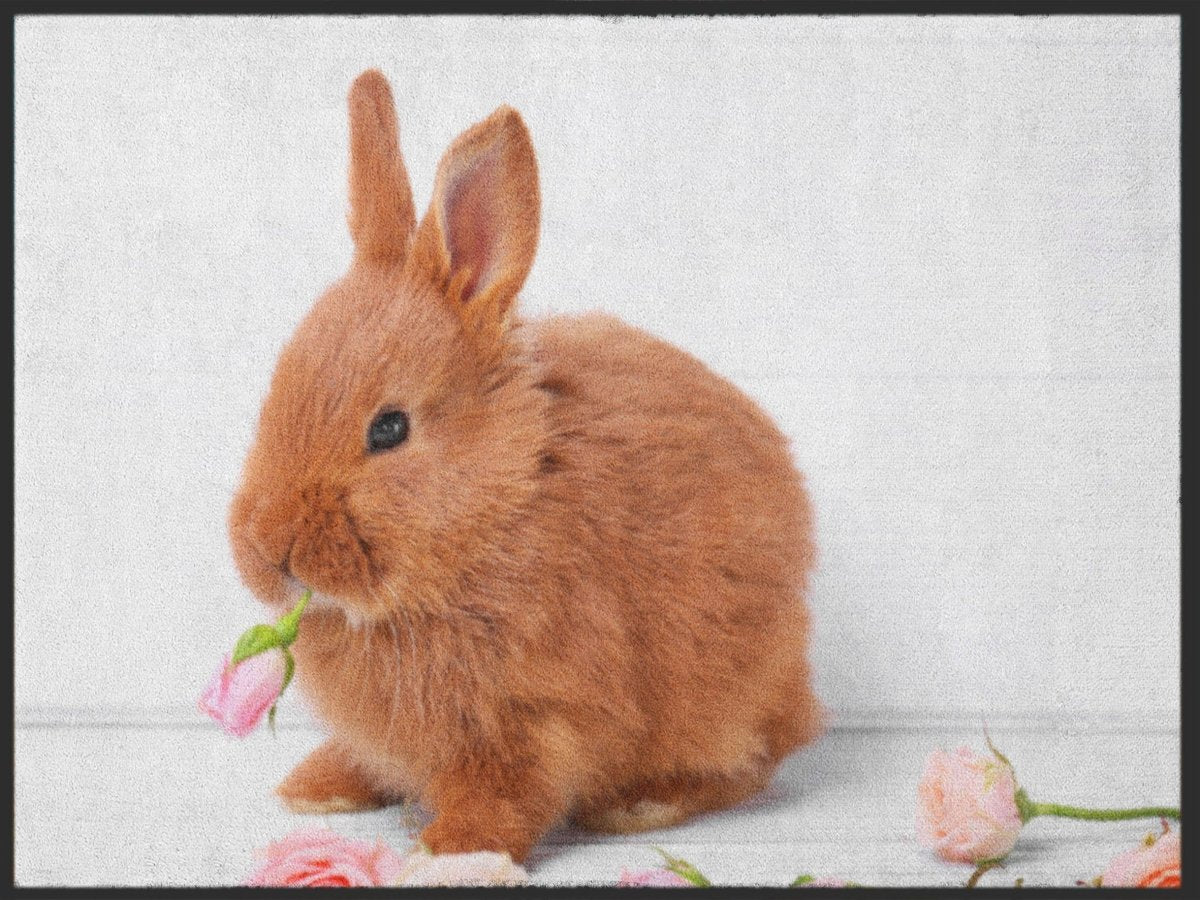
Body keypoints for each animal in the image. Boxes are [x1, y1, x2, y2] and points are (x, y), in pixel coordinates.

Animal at [228, 68, 824, 863]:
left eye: (389, 428)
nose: (269, 545)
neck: (496, 508)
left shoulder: (534, 713)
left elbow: (510, 787)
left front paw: (454, 851)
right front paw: (319, 789)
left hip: (727, 690)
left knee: (750, 757)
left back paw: (642, 805)